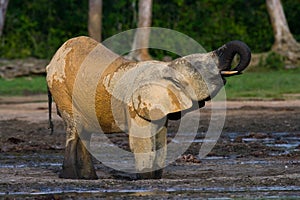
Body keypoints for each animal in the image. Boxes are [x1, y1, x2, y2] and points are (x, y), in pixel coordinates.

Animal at [45, 36, 251, 180]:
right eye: (203, 67)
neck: (168, 67)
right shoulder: (135, 106)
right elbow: (140, 141)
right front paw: (144, 179)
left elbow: (160, 139)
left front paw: (155, 178)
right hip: (60, 88)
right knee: (74, 126)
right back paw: (69, 177)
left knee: (84, 132)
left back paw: (89, 178)